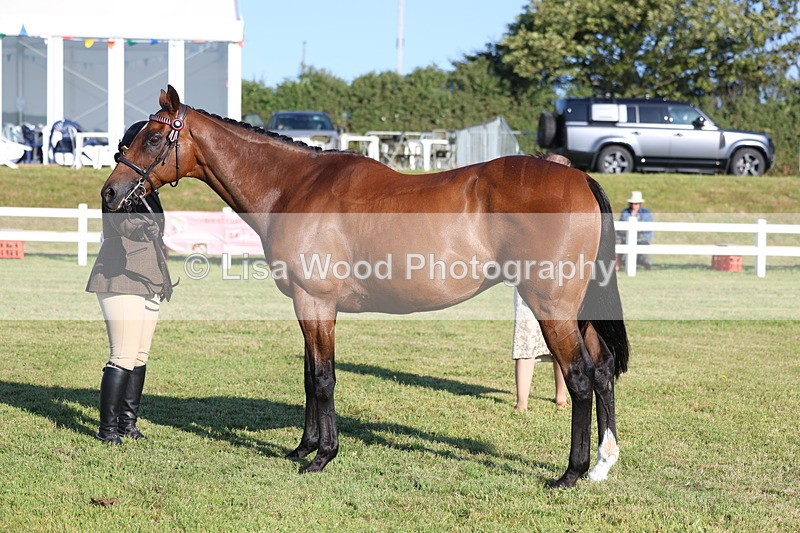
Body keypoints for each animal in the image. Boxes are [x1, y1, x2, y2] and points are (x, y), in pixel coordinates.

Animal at [101, 86, 629, 488]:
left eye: (152, 137)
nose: (110, 192)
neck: (293, 187)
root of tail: (578, 177)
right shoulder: (306, 306)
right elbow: (309, 376)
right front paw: (303, 447)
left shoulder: (316, 302)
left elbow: (323, 378)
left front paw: (322, 456)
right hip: (575, 308)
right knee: (603, 369)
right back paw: (602, 465)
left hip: (551, 306)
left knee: (580, 377)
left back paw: (570, 473)